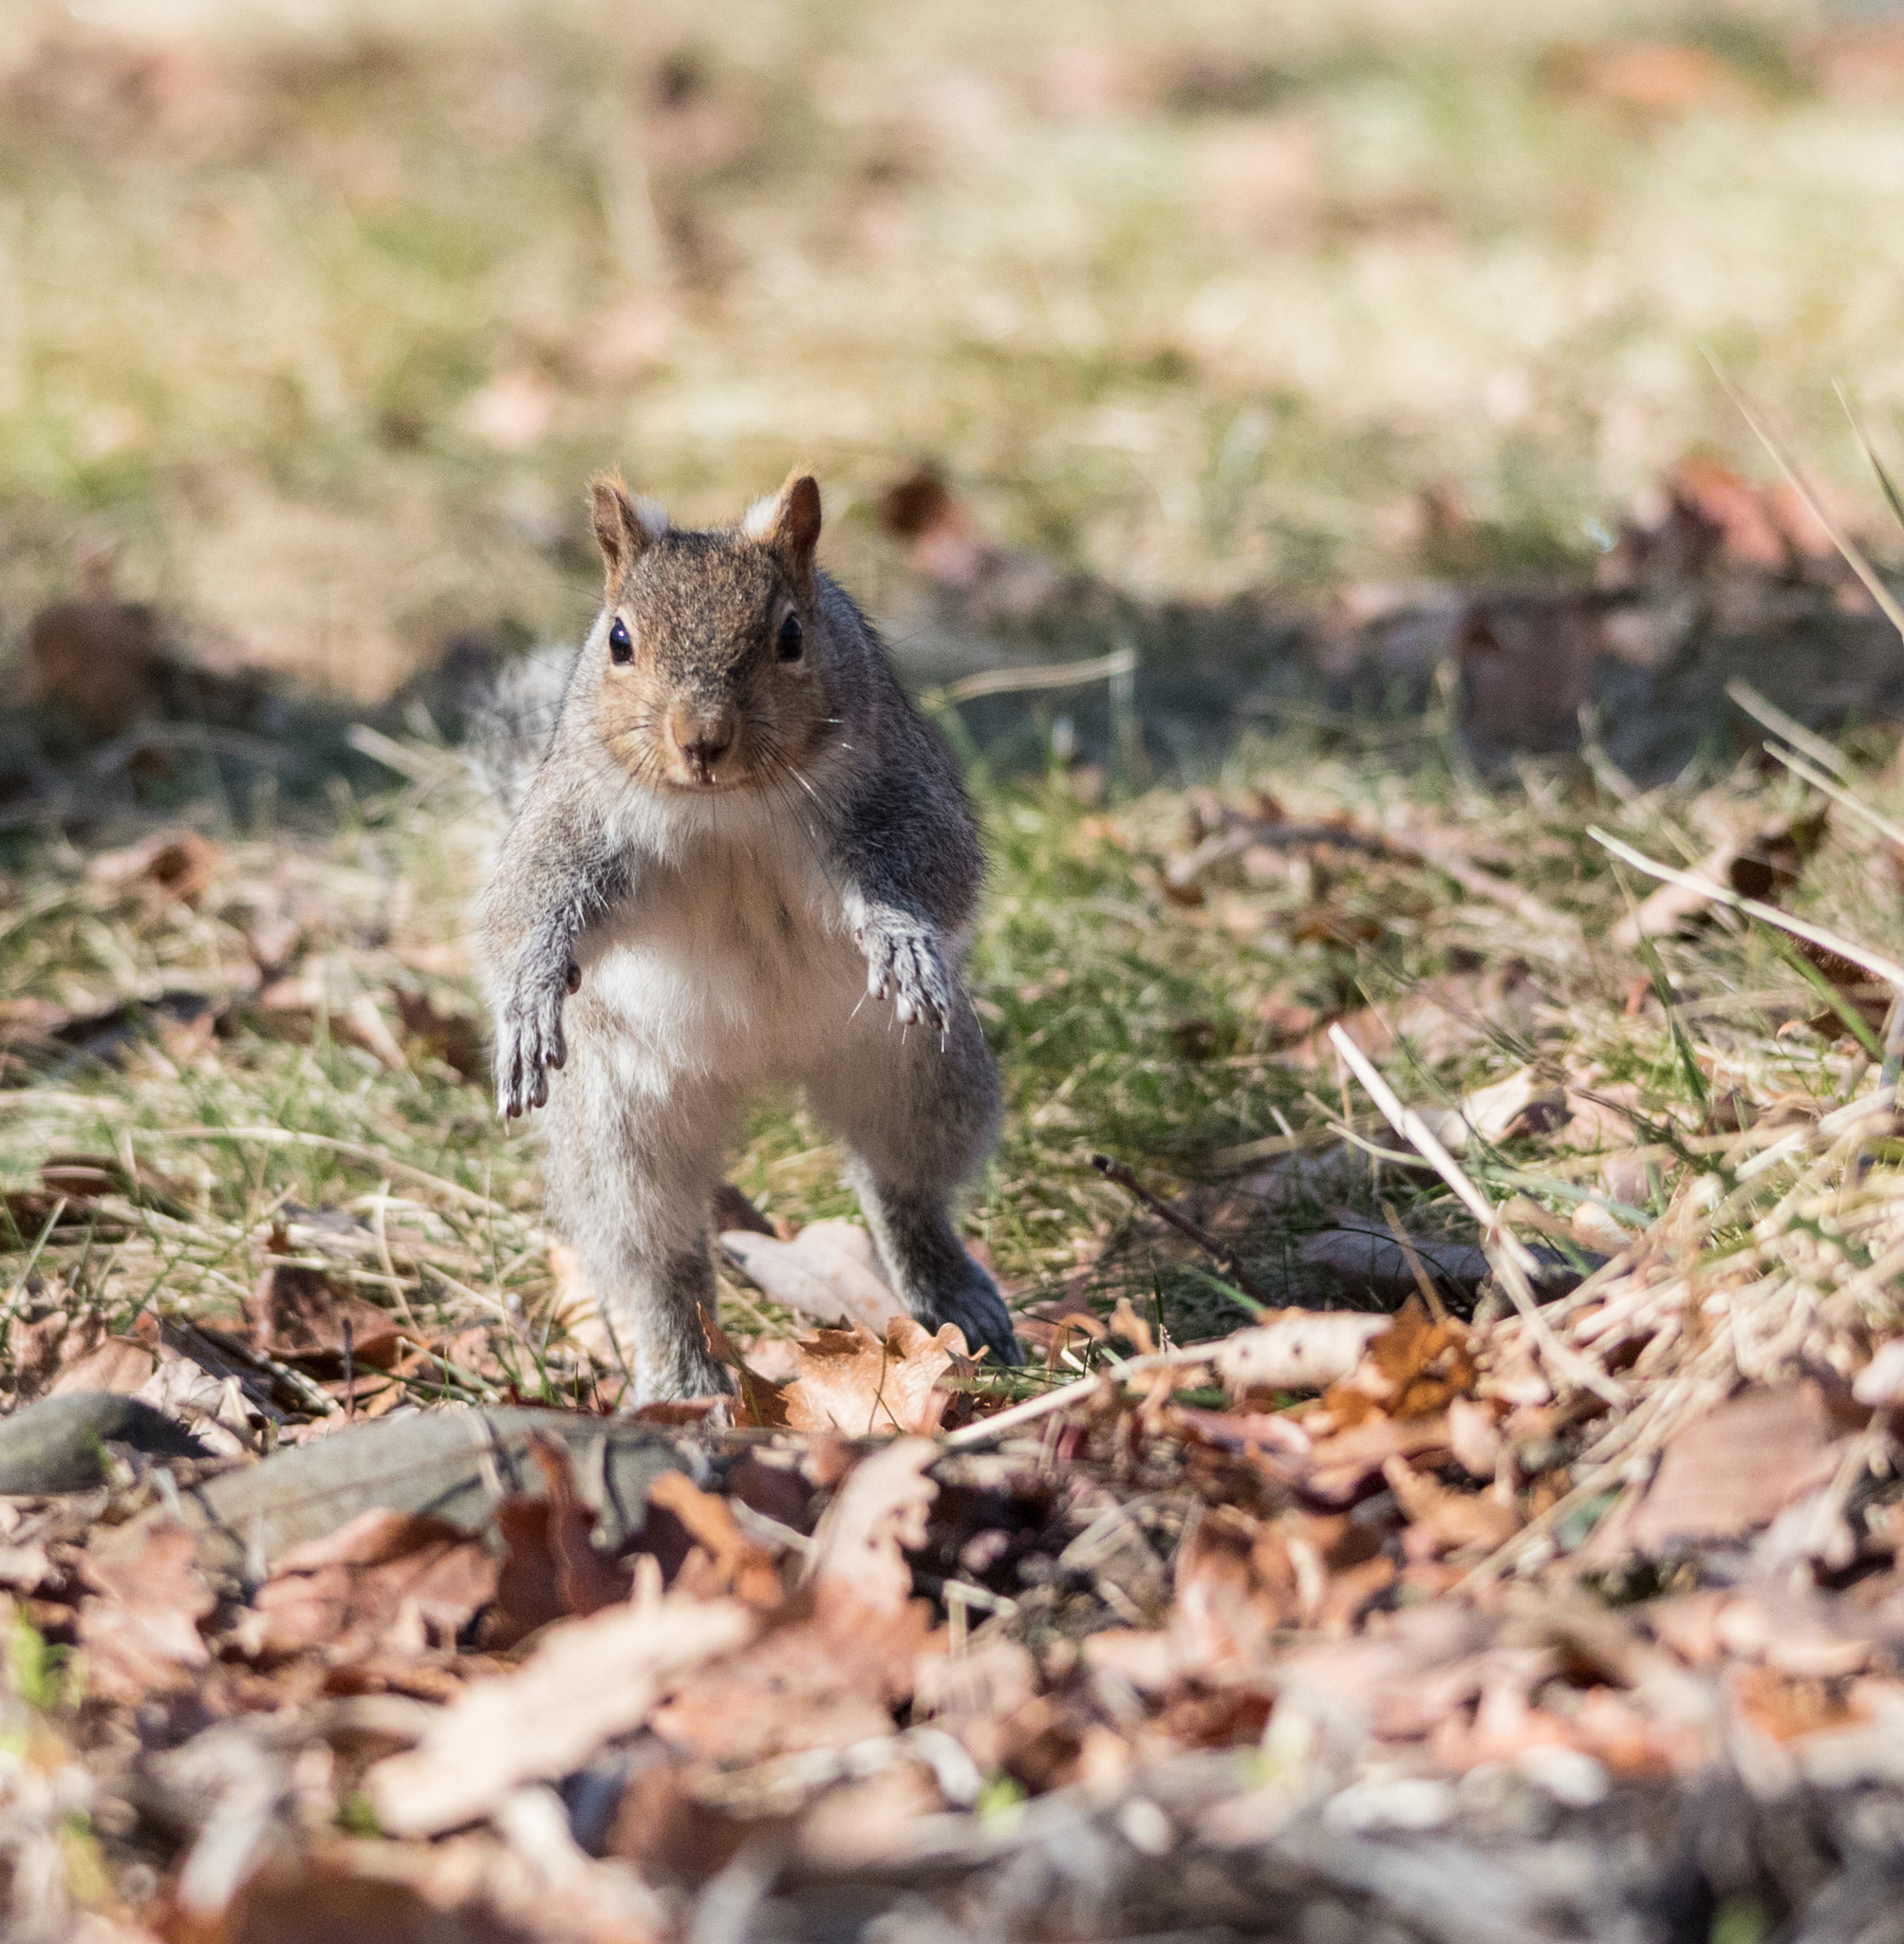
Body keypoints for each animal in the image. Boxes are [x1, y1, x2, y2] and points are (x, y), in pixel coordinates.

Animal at [468, 462, 1018, 1407]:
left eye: (792, 635)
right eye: (619, 640)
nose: (703, 740)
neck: (725, 811)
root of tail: (761, 1063)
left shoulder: (899, 791)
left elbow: (932, 873)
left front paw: (901, 938)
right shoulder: (573, 820)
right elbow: (526, 907)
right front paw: (531, 1000)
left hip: (917, 1072)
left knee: (904, 1189)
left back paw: (952, 1291)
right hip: (620, 1121)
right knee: (659, 1257)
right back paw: (684, 1378)